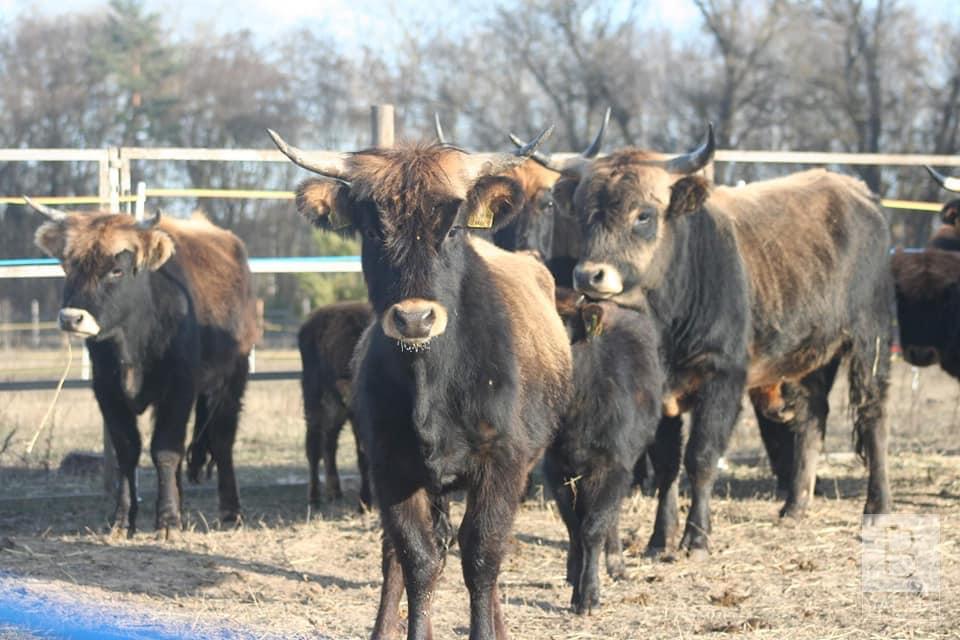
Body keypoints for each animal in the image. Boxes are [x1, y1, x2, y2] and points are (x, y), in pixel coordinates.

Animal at [32, 201, 256, 536]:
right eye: (69, 266)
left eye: (117, 270)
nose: (72, 318)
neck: (132, 340)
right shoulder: (107, 390)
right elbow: (128, 450)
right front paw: (124, 519)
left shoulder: (179, 389)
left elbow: (165, 450)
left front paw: (168, 521)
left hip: (231, 379)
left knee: (221, 440)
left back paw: (230, 512)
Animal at [266, 130, 572, 640]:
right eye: (373, 231)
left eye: (452, 230)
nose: (414, 318)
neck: (434, 381)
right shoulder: (391, 467)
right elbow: (417, 559)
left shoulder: (503, 466)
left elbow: (482, 557)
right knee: (397, 553)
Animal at [544, 130, 896, 556]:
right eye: (583, 214)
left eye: (643, 214)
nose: (589, 275)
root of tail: (858, 193)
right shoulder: (662, 392)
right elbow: (667, 464)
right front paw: (660, 539)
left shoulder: (723, 378)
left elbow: (701, 457)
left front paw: (696, 537)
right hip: (809, 357)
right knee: (812, 418)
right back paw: (795, 506)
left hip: (870, 339)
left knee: (873, 415)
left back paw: (878, 505)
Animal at [552, 288, 664, 612]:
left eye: (565, 327)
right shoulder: (556, 470)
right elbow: (574, 527)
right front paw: (576, 580)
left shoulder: (613, 467)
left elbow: (593, 527)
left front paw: (588, 595)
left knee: (609, 518)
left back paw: (615, 563)